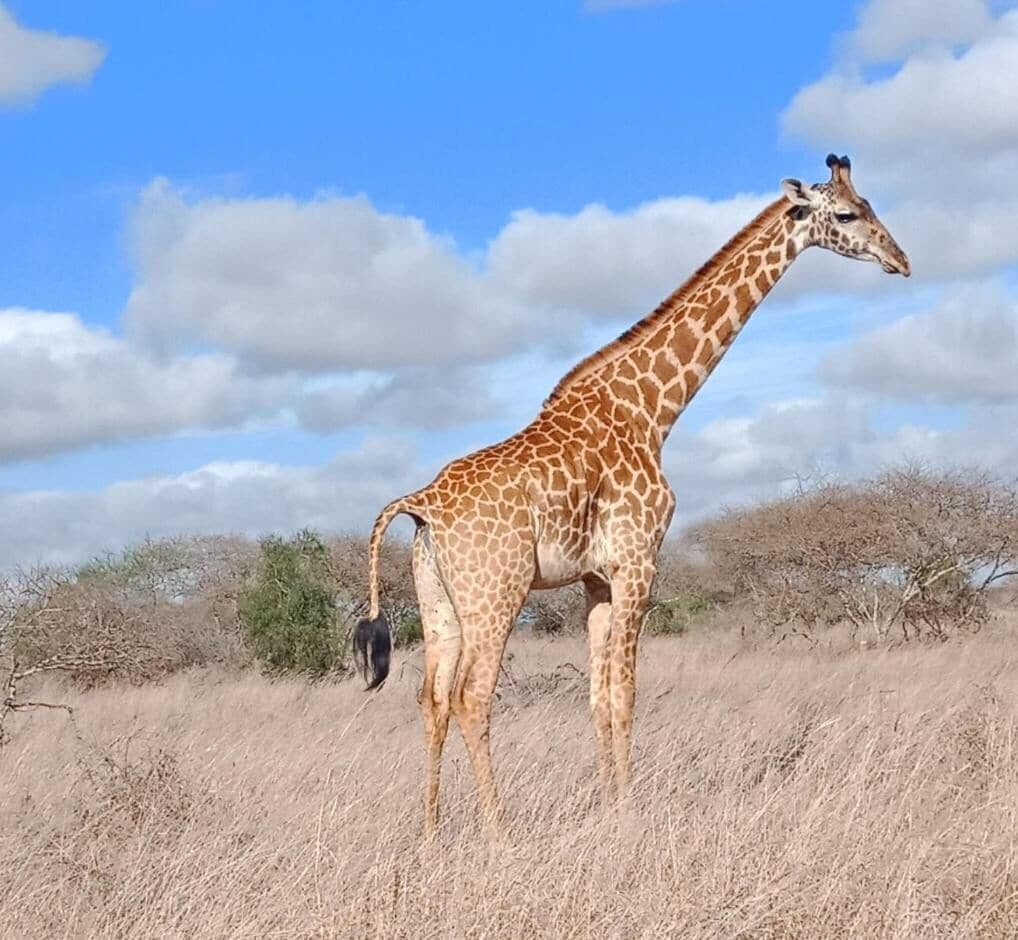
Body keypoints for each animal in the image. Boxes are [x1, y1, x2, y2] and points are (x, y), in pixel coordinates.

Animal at [353, 154, 910, 839]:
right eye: (849, 214)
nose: (901, 260)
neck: (652, 409)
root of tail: (421, 504)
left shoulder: (597, 578)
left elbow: (597, 698)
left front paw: (606, 802)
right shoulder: (639, 561)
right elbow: (626, 696)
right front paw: (628, 811)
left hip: (439, 603)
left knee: (430, 699)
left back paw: (433, 835)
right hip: (496, 594)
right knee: (471, 698)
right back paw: (497, 835)